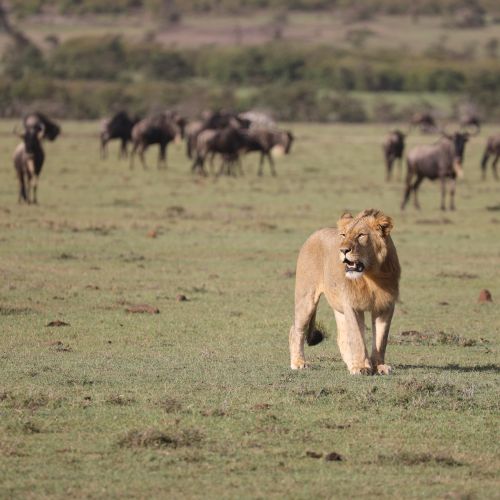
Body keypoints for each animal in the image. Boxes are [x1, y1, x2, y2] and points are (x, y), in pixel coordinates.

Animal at [288, 208, 400, 376]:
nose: (343, 250)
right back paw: (299, 363)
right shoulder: (352, 305)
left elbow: (381, 339)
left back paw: (351, 363)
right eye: (343, 235)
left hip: (338, 307)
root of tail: (315, 233)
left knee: (341, 338)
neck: (372, 275)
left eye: (361, 235)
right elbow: (357, 337)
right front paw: (361, 367)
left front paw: (379, 366)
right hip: (306, 298)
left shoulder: (385, 306)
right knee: (295, 330)